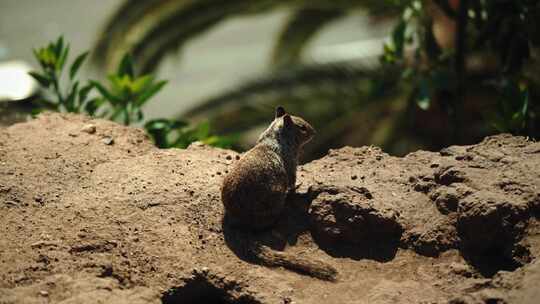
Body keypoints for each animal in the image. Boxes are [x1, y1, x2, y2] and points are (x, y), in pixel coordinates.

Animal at [219, 107, 338, 282]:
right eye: (302, 127)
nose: (315, 132)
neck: (275, 138)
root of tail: (237, 221)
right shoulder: (292, 165)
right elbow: (293, 183)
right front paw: (301, 188)